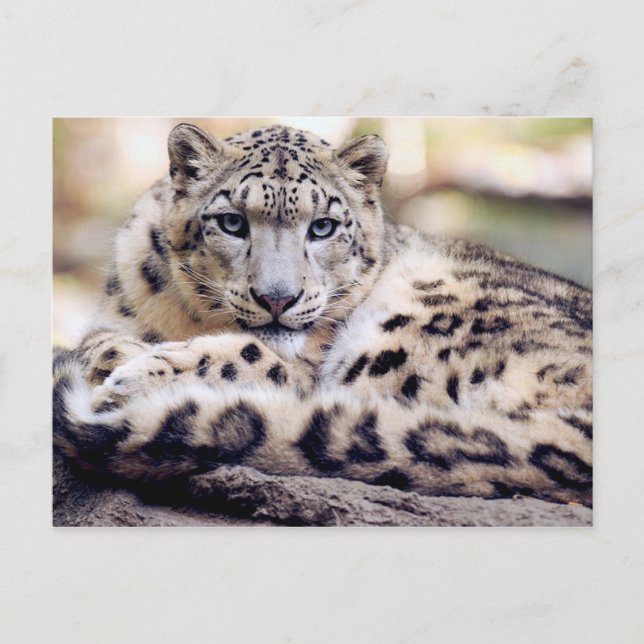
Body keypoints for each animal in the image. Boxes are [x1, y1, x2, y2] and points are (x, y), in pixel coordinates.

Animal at [53, 123, 592, 507]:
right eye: (232, 221)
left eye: (323, 227)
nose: (277, 298)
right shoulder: (113, 310)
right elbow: (99, 340)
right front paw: (118, 359)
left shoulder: (307, 368)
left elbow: (254, 358)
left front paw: (134, 377)